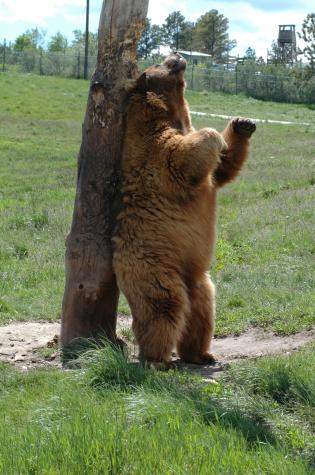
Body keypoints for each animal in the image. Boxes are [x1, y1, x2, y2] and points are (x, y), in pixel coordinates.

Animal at [113, 54, 256, 370]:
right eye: (158, 61)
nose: (178, 55)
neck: (173, 112)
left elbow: (221, 170)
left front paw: (243, 124)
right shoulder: (151, 145)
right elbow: (181, 156)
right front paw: (215, 136)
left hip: (199, 281)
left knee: (201, 312)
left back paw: (202, 354)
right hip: (151, 268)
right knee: (163, 307)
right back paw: (157, 359)